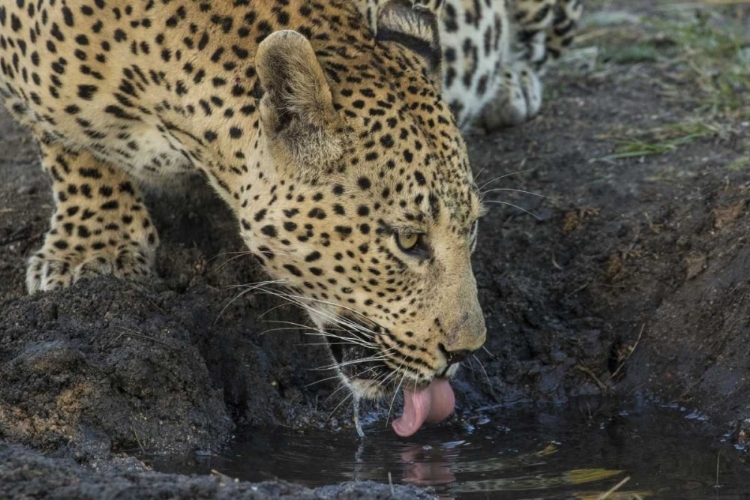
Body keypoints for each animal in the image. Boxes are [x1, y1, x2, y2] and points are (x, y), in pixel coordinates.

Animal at [0, 0, 580, 438]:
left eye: (473, 228)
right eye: (409, 240)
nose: (465, 352)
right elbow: (70, 146)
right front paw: (92, 248)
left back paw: (508, 84)